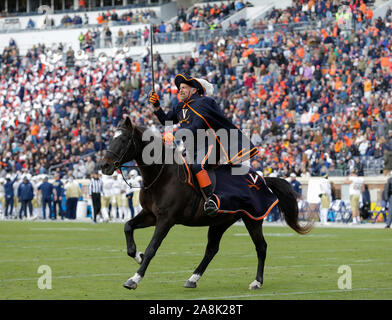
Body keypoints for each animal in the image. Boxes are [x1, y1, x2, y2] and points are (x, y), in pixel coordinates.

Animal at [101, 117, 312, 290]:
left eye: (123, 140)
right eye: (112, 138)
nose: (104, 165)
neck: (162, 175)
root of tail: (261, 178)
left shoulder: (166, 220)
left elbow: (153, 247)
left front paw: (134, 278)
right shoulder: (150, 215)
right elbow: (128, 227)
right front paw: (138, 256)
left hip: (252, 220)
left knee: (261, 247)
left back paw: (257, 281)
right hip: (220, 222)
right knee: (212, 249)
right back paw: (193, 278)